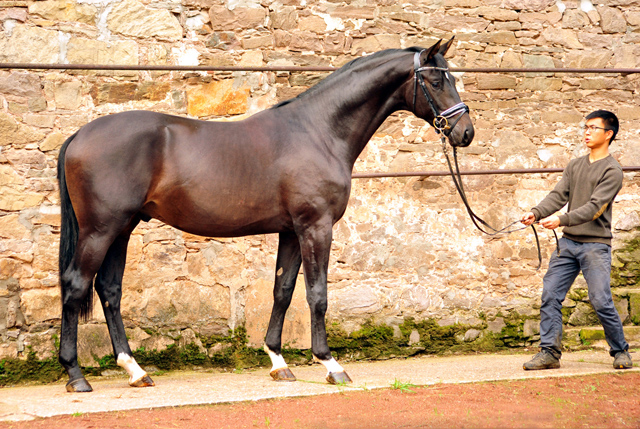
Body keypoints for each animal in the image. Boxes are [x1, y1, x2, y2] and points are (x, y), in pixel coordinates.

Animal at [57, 38, 472, 392]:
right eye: (436, 80)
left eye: (452, 76)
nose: (464, 132)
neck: (319, 132)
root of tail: (78, 135)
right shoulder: (315, 227)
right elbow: (317, 294)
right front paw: (330, 364)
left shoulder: (290, 231)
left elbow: (282, 291)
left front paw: (278, 362)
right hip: (101, 229)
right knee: (77, 285)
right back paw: (76, 374)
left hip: (122, 229)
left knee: (109, 290)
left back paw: (135, 370)